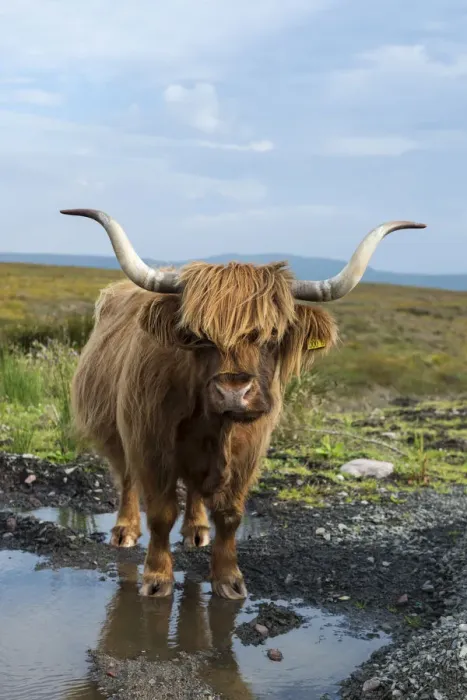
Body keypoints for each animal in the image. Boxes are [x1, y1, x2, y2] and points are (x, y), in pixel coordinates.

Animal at [61, 208, 425, 600]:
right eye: (197, 336)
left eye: (272, 335)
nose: (234, 392)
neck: (211, 425)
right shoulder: (149, 442)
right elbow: (160, 512)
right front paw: (157, 578)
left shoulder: (248, 450)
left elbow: (230, 515)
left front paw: (229, 580)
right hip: (115, 431)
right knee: (127, 477)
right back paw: (125, 531)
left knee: (193, 489)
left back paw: (196, 531)